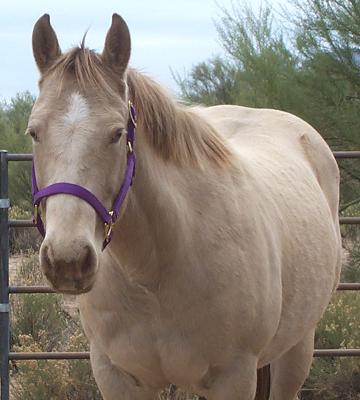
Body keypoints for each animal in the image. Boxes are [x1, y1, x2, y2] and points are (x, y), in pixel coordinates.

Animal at [29, 13, 342, 400]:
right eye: (34, 132)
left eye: (117, 133)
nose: (67, 260)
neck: (155, 273)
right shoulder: (116, 376)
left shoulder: (234, 378)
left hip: (297, 347)